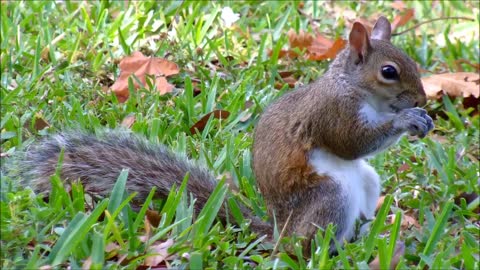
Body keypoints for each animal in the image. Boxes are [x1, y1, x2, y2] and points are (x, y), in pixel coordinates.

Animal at [11, 16, 434, 252]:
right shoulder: (332, 113)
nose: (423, 99)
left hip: (366, 183)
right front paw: (407, 121)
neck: (355, 89)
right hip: (329, 196)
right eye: (389, 72)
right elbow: (351, 142)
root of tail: (279, 232)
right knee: (308, 244)